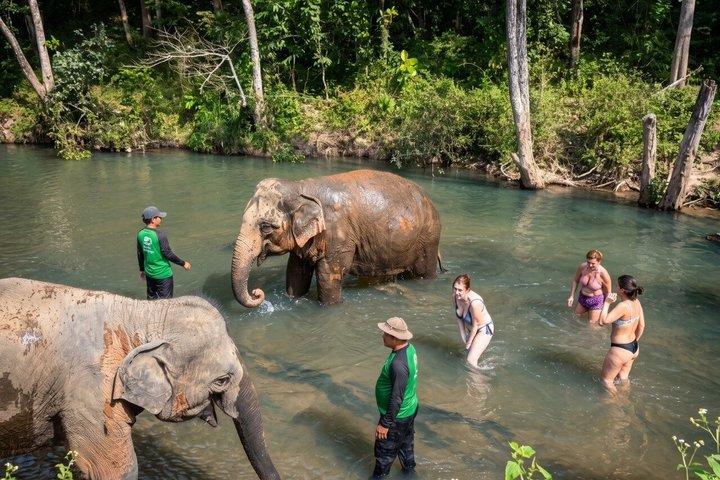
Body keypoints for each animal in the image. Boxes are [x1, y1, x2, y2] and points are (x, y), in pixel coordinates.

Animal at [231, 169, 442, 307]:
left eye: (265, 227)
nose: (257, 293)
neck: (301, 186)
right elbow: (296, 272)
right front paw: (293, 299)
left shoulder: (338, 235)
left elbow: (328, 276)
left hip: (428, 238)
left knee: (423, 272)